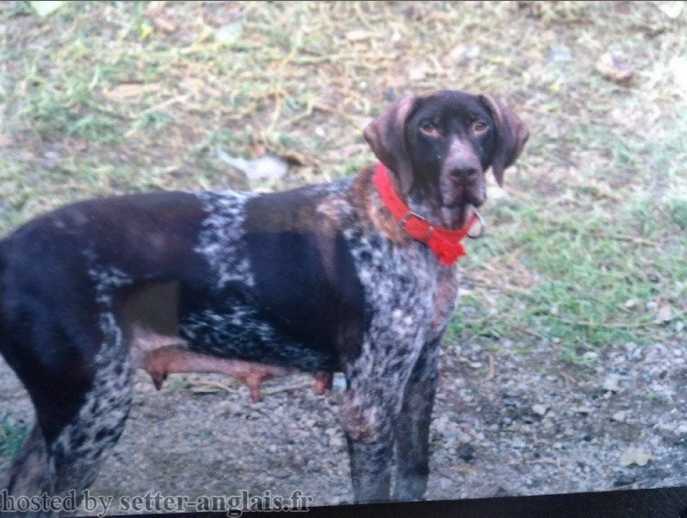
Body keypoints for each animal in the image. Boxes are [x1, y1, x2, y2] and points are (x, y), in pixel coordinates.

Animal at [0, 88, 528, 512]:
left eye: (479, 125)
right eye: (428, 128)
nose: (464, 172)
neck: (409, 223)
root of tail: (10, 250)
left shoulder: (420, 372)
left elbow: (415, 471)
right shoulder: (368, 408)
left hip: (71, 412)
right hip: (92, 414)